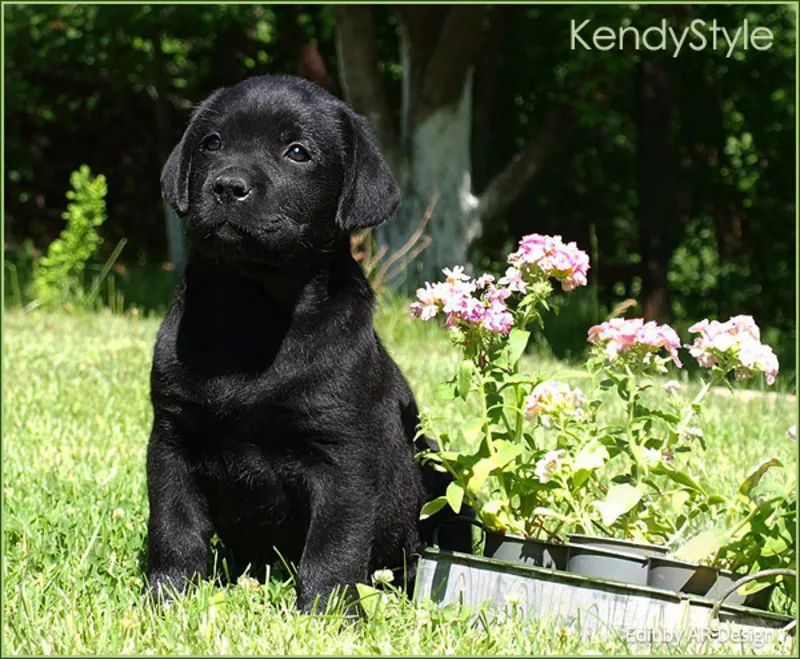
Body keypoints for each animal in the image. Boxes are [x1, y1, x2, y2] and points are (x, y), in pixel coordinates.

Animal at [145, 73, 468, 612]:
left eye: (297, 152)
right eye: (212, 143)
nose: (227, 186)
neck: (252, 311)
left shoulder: (342, 456)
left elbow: (332, 545)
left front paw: (326, 613)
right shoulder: (172, 438)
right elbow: (173, 528)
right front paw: (166, 600)